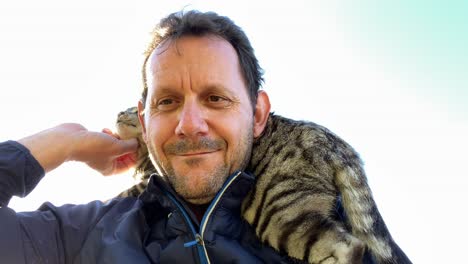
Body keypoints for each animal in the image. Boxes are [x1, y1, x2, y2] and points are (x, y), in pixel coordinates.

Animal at [115, 106, 412, 262]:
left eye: (133, 109)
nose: (119, 113)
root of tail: (338, 144)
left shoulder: (154, 177)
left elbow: (131, 189)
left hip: (278, 214)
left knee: (349, 246)